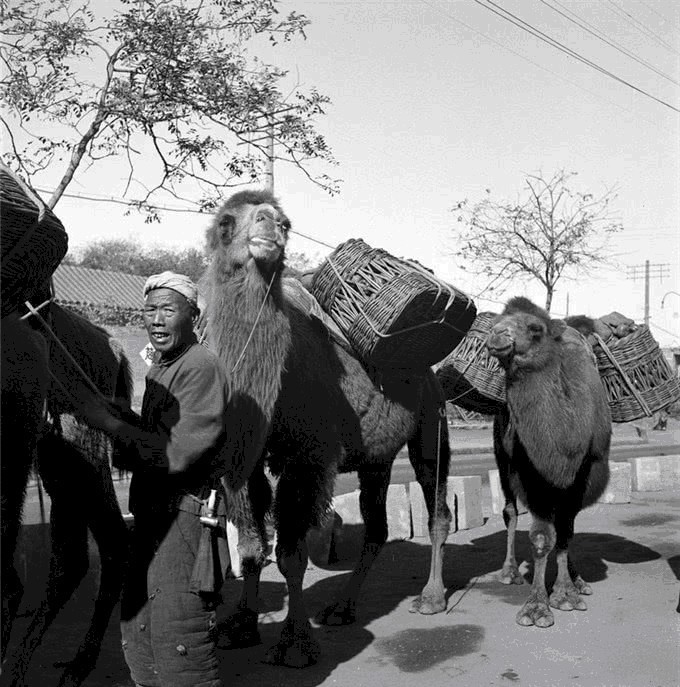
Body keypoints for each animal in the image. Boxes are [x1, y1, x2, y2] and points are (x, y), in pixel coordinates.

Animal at [202, 188, 452, 668]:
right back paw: (342, 607)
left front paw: (295, 643)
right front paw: (240, 625)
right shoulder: (242, 458)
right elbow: (250, 547)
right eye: (227, 221)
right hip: (377, 460)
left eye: (286, 221)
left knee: (437, 508)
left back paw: (431, 597)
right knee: (377, 527)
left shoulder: (308, 456)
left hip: (433, 422)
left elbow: (291, 555)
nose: (271, 223)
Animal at [484, 296, 612, 628]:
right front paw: (537, 607)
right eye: (497, 321)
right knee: (510, 511)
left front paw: (565, 592)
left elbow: (565, 534)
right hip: (501, 458)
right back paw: (510, 572)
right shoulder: (532, 477)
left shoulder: (584, 477)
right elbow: (542, 538)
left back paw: (578, 580)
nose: (497, 334)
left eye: (535, 328)